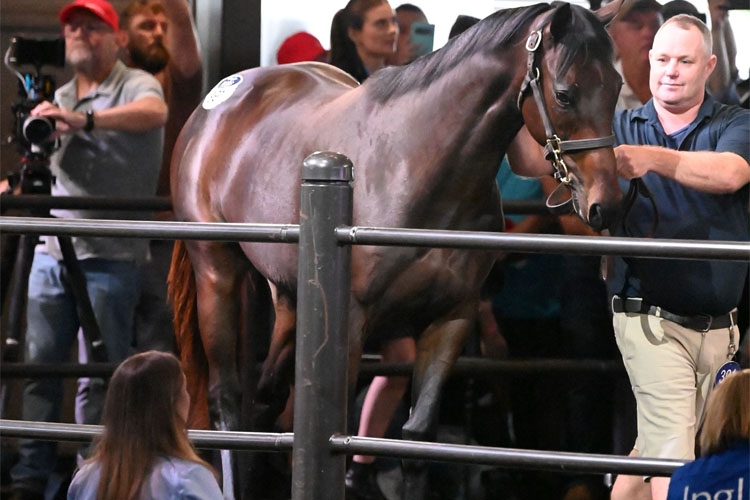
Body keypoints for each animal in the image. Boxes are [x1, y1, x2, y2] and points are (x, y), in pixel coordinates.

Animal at [170, 2, 628, 496]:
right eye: (564, 94)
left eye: (616, 86)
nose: (606, 203)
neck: (418, 166)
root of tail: (217, 104)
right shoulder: (351, 322)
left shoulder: (451, 318)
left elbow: (416, 440)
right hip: (217, 273)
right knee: (226, 401)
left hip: (290, 296)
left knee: (269, 395)